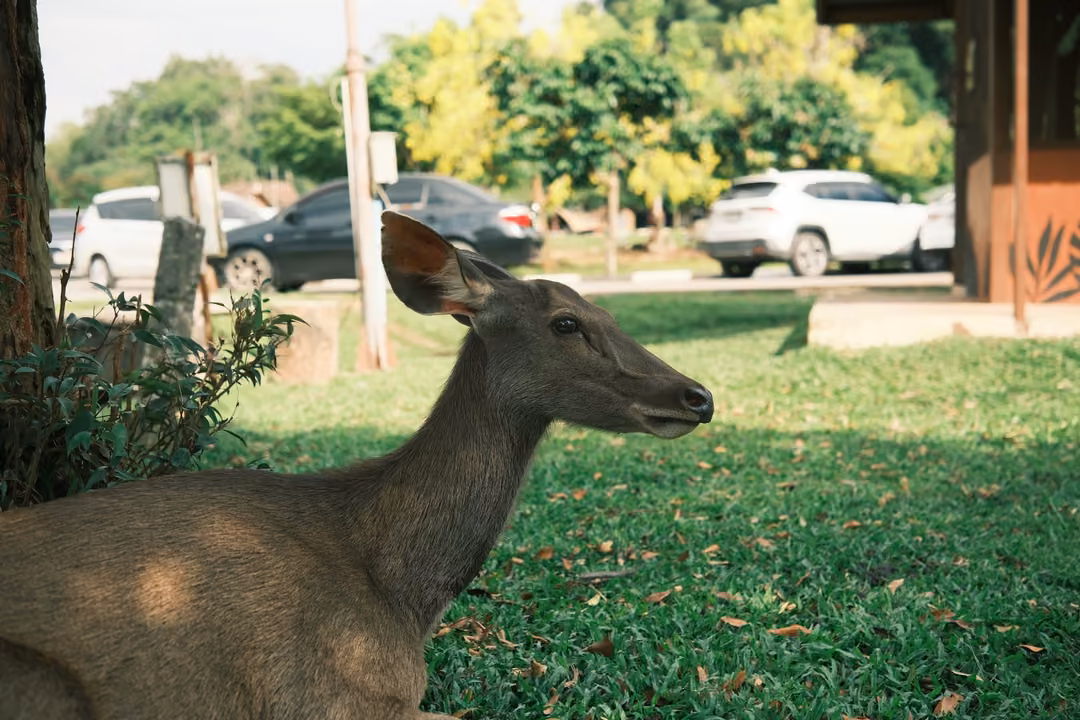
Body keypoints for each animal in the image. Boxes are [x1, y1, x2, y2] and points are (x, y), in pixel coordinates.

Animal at [0, 211, 714, 720]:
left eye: (607, 311)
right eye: (567, 323)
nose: (698, 396)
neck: (401, 593)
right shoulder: (329, 693)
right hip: (44, 686)